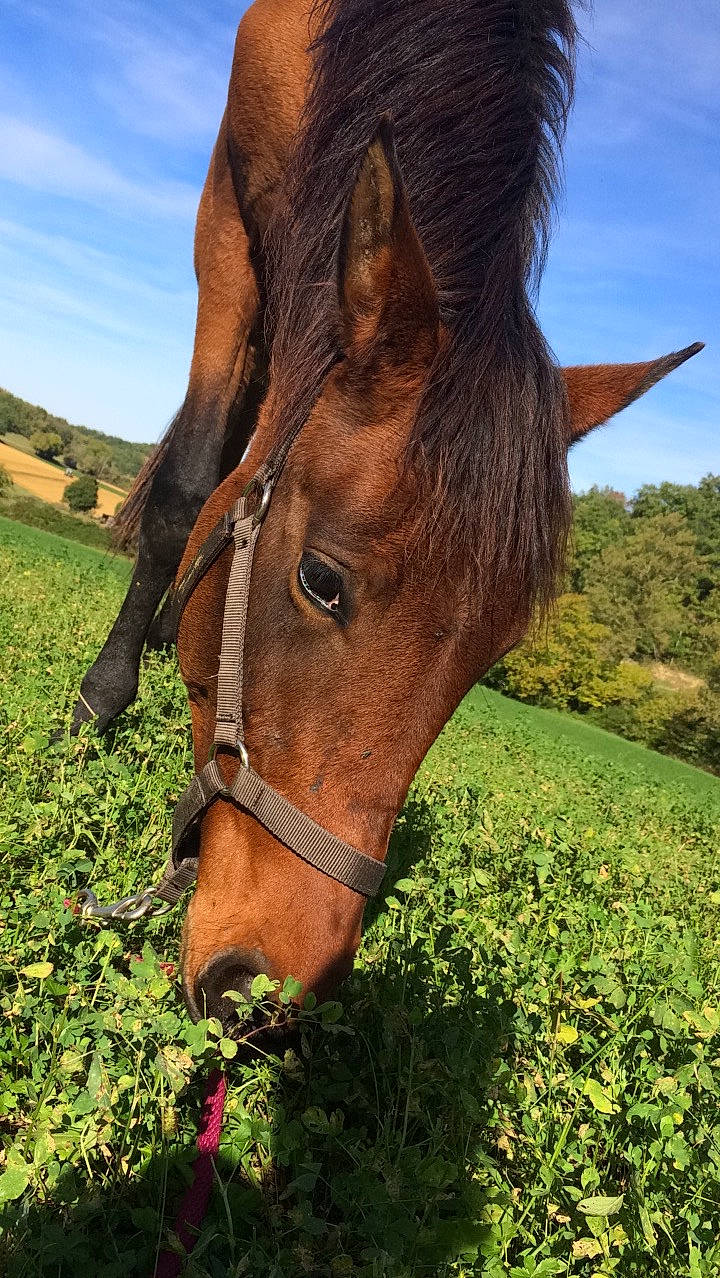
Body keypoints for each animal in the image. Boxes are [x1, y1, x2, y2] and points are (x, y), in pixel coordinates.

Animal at [71, 0, 701, 1030]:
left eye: (490, 656)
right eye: (321, 581)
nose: (265, 993)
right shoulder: (227, 219)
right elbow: (189, 487)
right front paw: (99, 702)